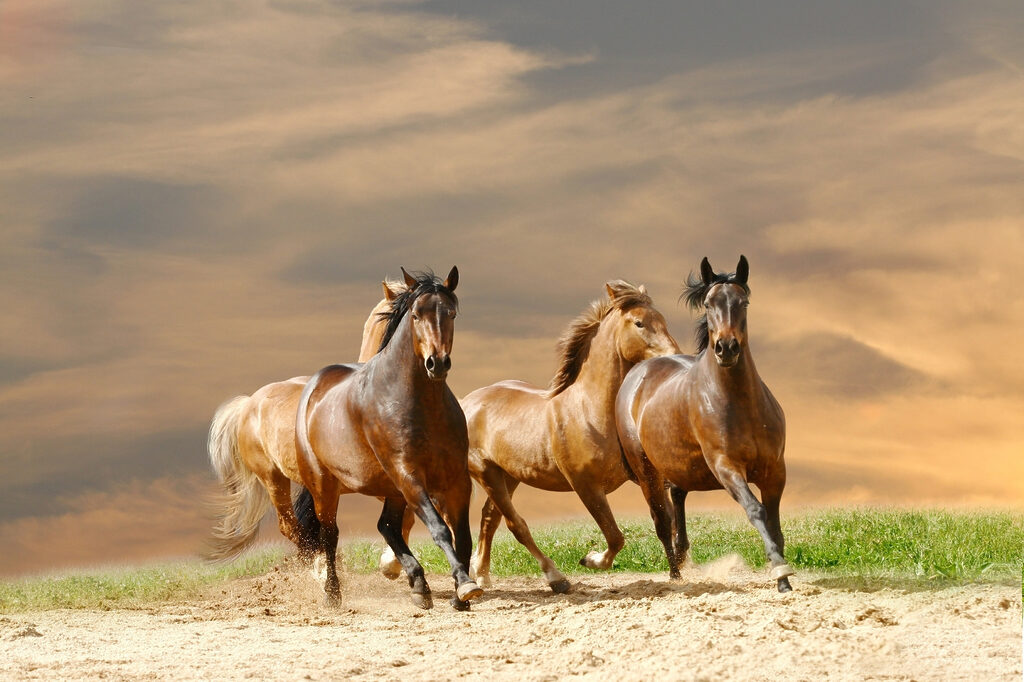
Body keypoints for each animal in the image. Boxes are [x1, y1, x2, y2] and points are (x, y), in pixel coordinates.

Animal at [294, 267, 482, 611]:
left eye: (450, 313)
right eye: (417, 315)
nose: (437, 363)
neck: (421, 404)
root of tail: (314, 386)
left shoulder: (456, 479)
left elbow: (461, 535)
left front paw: (461, 594)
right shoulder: (409, 475)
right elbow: (439, 529)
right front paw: (465, 585)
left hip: (391, 488)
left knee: (387, 526)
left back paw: (419, 585)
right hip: (325, 485)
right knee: (330, 534)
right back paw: (332, 594)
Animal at [461, 281, 679, 593]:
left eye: (662, 319)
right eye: (639, 323)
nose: (674, 354)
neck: (590, 411)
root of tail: (466, 402)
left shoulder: (647, 477)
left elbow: (665, 522)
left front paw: (680, 573)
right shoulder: (586, 486)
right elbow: (615, 536)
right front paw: (590, 559)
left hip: (509, 476)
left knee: (489, 518)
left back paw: (481, 574)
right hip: (487, 473)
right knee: (516, 525)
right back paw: (556, 578)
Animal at [615, 255, 795, 592]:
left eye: (743, 301)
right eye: (709, 304)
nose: (726, 348)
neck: (740, 404)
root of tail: (638, 372)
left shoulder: (775, 471)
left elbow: (775, 524)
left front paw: (784, 578)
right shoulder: (726, 467)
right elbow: (757, 510)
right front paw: (780, 571)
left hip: (679, 466)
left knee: (677, 501)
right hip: (647, 472)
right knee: (662, 521)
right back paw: (675, 576)